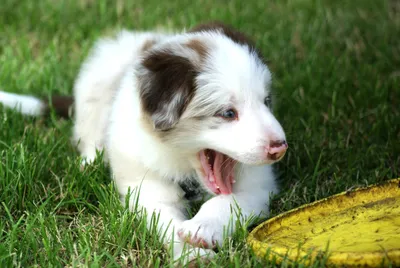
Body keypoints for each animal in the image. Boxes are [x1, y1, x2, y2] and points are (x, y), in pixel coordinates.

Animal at [0, 21, 288, 264]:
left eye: (266, 101)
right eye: (228, 113)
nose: (280, 147)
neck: (184, 166)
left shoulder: (259, 187)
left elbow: (226, 203)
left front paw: (201, 228)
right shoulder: (147, 190)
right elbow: (167, 222)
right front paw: (192, 255)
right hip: (96, 81)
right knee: (88, 134)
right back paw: (89, 163)